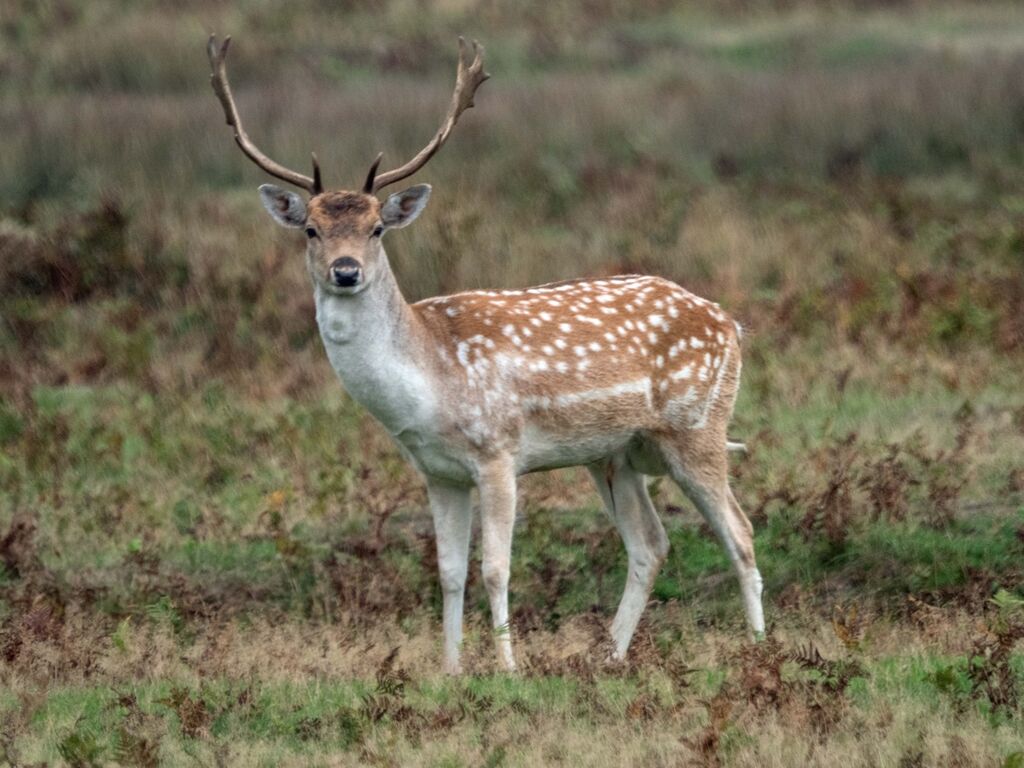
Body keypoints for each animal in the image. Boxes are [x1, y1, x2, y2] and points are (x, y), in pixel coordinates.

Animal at [207, 35, 765, 674]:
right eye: (310, 230)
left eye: (377, 229)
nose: (345, 272)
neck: (428, 385)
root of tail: (731, 322)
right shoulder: (438, 472)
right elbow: (449, 572)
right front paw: (449, 670)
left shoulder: (499, 453)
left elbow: (495, 568)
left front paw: (507, 669)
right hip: (617, 455)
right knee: (651, 543)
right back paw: (608, 657)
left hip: (697, 427)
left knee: (740, 532)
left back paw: (758, 648)